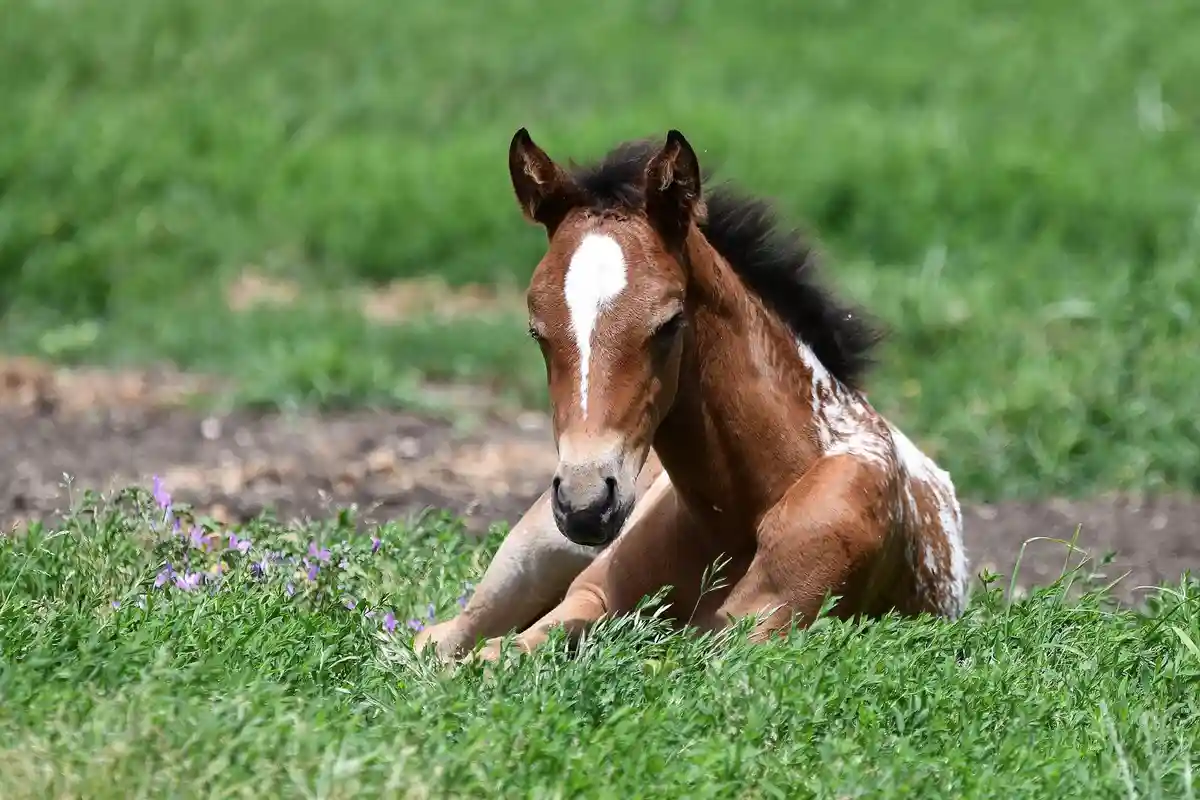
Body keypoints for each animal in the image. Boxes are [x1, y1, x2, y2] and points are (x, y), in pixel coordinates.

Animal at [414, 128, 969, 661]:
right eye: (537, 332)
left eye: (669, 323)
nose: (585, 504)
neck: (734, 516)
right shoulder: (591, 596)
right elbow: (497, 655)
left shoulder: (752, 627)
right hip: (531, 553)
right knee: (443, 636)